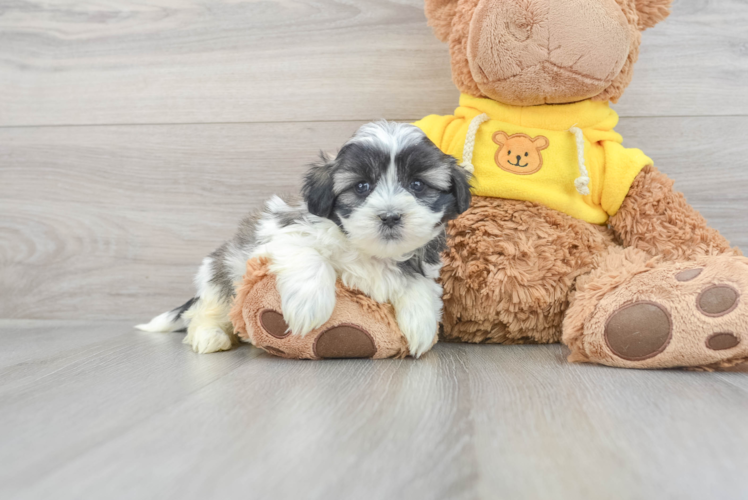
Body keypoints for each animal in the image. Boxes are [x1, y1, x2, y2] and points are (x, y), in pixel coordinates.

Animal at [137, 120, 470, 356]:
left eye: (417, 185)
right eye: (361, 187)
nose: (389, 216)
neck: (368, 252)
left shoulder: (423, 264)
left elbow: (420, 284)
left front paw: (421, 323)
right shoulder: (275, 239)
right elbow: (308, 254)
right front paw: (309, 305)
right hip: (223, 273)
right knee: (208, 310)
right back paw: (211, 335)